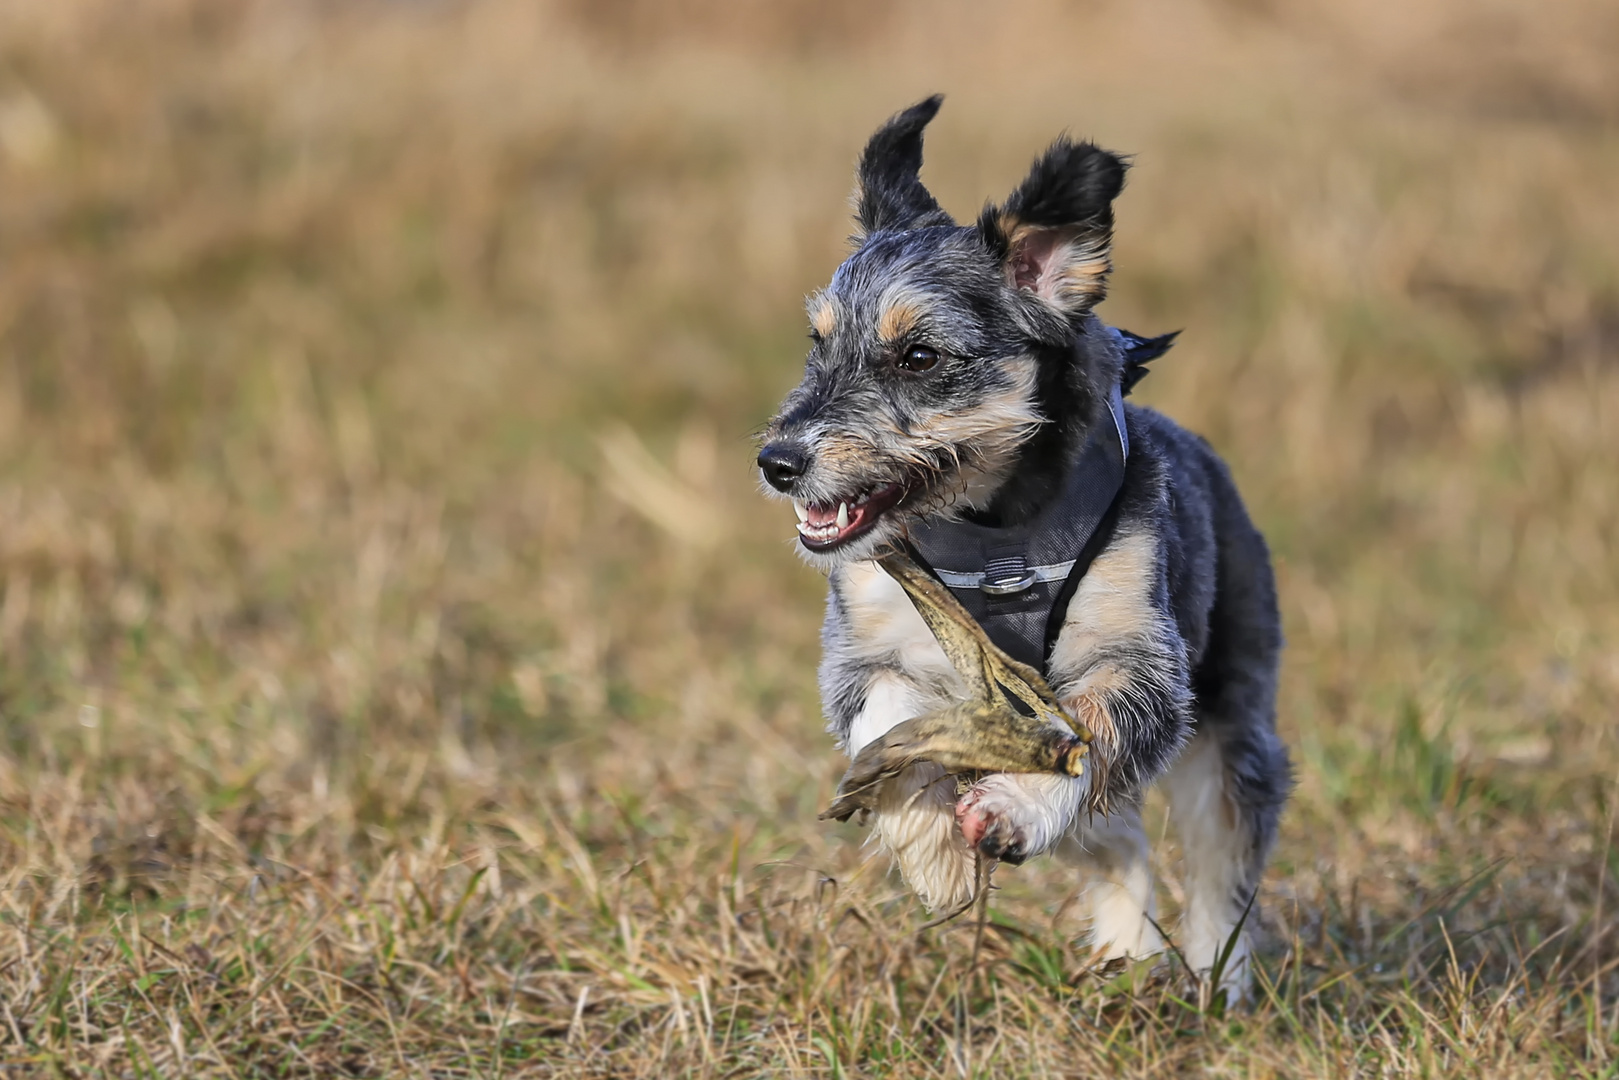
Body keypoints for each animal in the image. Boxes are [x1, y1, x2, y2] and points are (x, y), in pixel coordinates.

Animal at [754, 97, 1288, 990]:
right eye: (817, 343)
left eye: (919, 355)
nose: (778, 463)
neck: (994, 533)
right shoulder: (865, 645)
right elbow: (885, 722)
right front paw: (934, 855)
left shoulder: (1137, 653)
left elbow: (1083, 732)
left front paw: (1012, 804)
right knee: (1116, 841)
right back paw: (1126, 950)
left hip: (1233, 704)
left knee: (1224, 844)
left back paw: (1216, 980)